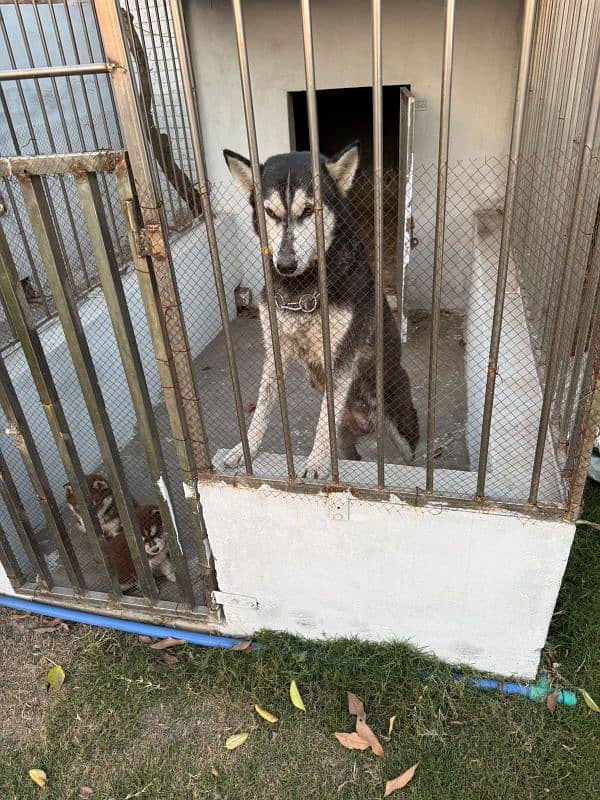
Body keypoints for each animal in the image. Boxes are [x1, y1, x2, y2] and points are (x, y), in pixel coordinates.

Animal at [221, 141, 418, 478]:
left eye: (308, 210)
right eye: (270, 212)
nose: (285, 265)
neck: (302, 289)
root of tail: (366, 423)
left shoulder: (340, 358)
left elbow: (322, 422)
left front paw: (313, 463)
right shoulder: (275, 351)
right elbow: (261, 408)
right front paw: (243, 450)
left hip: (400, 423)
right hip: (347, 441)